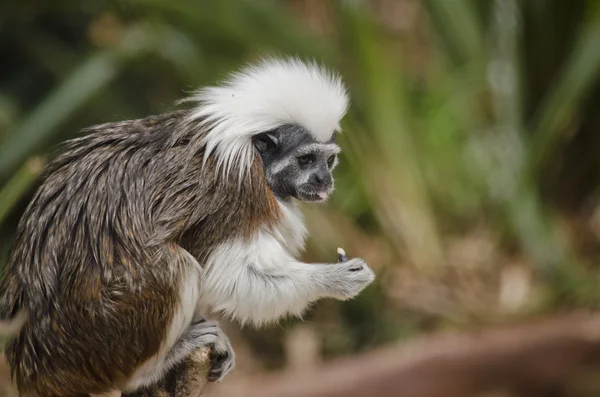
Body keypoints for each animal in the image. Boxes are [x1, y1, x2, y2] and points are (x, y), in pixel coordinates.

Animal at [0, 58, 376, 396]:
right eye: (305, 160)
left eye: (328, 160)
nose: (324, 181)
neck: (250, 155)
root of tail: (34, 367)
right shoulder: (234, 196)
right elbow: (233, 276)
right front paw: (335, 279)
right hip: (94, 334)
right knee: (171, 264)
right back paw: (151, 367)